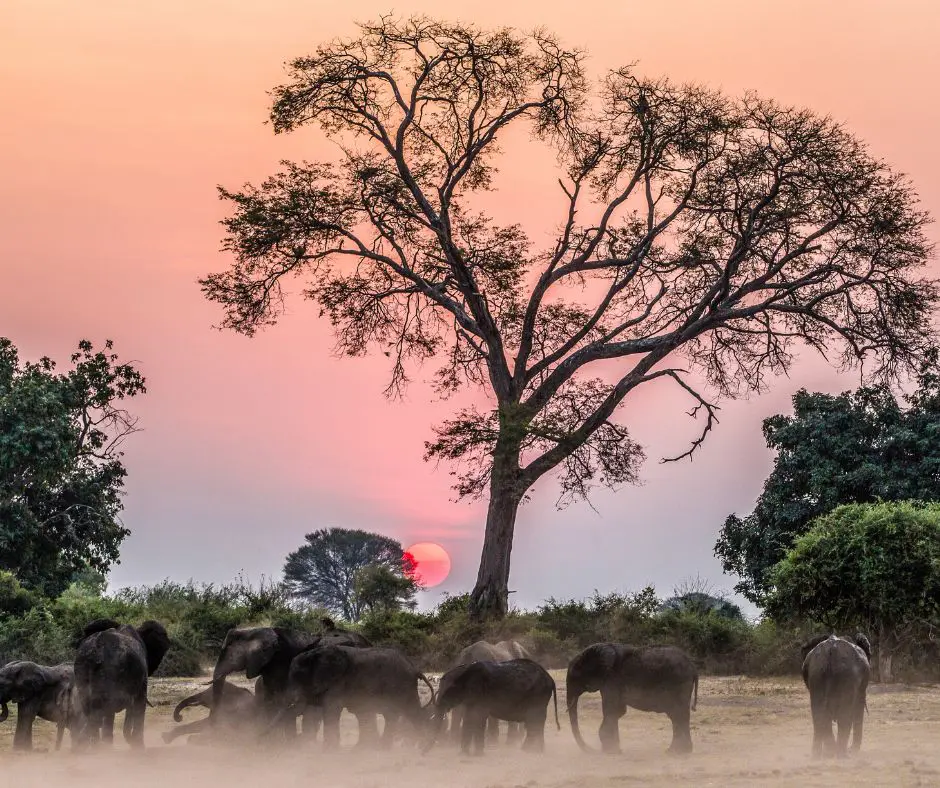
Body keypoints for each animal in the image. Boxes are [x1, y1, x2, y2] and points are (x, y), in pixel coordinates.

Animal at [73, 618, 171, 748]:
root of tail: (95, 652)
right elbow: (139, 703)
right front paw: (139, 747)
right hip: (108, 672)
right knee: (102, 712)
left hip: (82, 671)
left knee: (93, 711)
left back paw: (94, 748)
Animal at [268, 644, 435, 749]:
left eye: (299, 679)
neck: (316, 654)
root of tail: (415, 668)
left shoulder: (337, 683)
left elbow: (331, 711)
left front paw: (328, 752)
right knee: (394, 715)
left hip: (402, 685)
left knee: (411, 711)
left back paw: (423, 746)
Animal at [427, 658, 558, 756]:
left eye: (446, 693)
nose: (424, 754)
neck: (464, 670)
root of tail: (551, 679)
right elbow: (469, 718)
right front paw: (463, 754)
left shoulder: (481, 694)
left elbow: (478, 717)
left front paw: (477, 755)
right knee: (536, 723)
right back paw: (533, 751)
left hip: (538, 695)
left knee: (534, 721)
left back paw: (530, 751)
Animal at [566, 643, 698, 755]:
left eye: (575, 676)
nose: (592, 750)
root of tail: (692, 665)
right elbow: (618, 711)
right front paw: (614, 750)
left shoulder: (611, 680)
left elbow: (611, 710)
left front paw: (610, 751)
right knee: (677, 716)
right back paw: (677, 751)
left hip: (679, 683)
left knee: (678, 714)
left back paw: (677, 753)